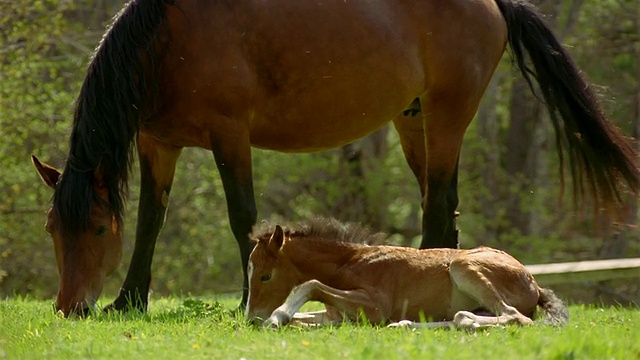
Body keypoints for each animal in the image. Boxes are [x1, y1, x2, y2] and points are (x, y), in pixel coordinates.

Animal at [32, 0, 636, 316]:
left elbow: (242, 218)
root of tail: (493, 3)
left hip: (446, 118)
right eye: (53, 230)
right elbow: (150, 223)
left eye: (95, 227)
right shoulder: (158, 142)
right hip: (412, 120)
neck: (168, 41)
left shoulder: (230, 135)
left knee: (438, 207)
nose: (69, 306)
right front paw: (128, 301)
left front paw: (250, 297)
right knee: (440, 209)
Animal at [246, 217, 568, 330]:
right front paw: (286, 319)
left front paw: (276, 318)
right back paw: (405, 324)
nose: (251, 318)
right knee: (460, 318)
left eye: (265, 276)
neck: (350, 261)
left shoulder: (375, 308)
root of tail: (534, 283)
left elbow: (311, 285)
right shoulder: (338, 314)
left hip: (463, 266)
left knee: (514, 317)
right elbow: (307, 316)